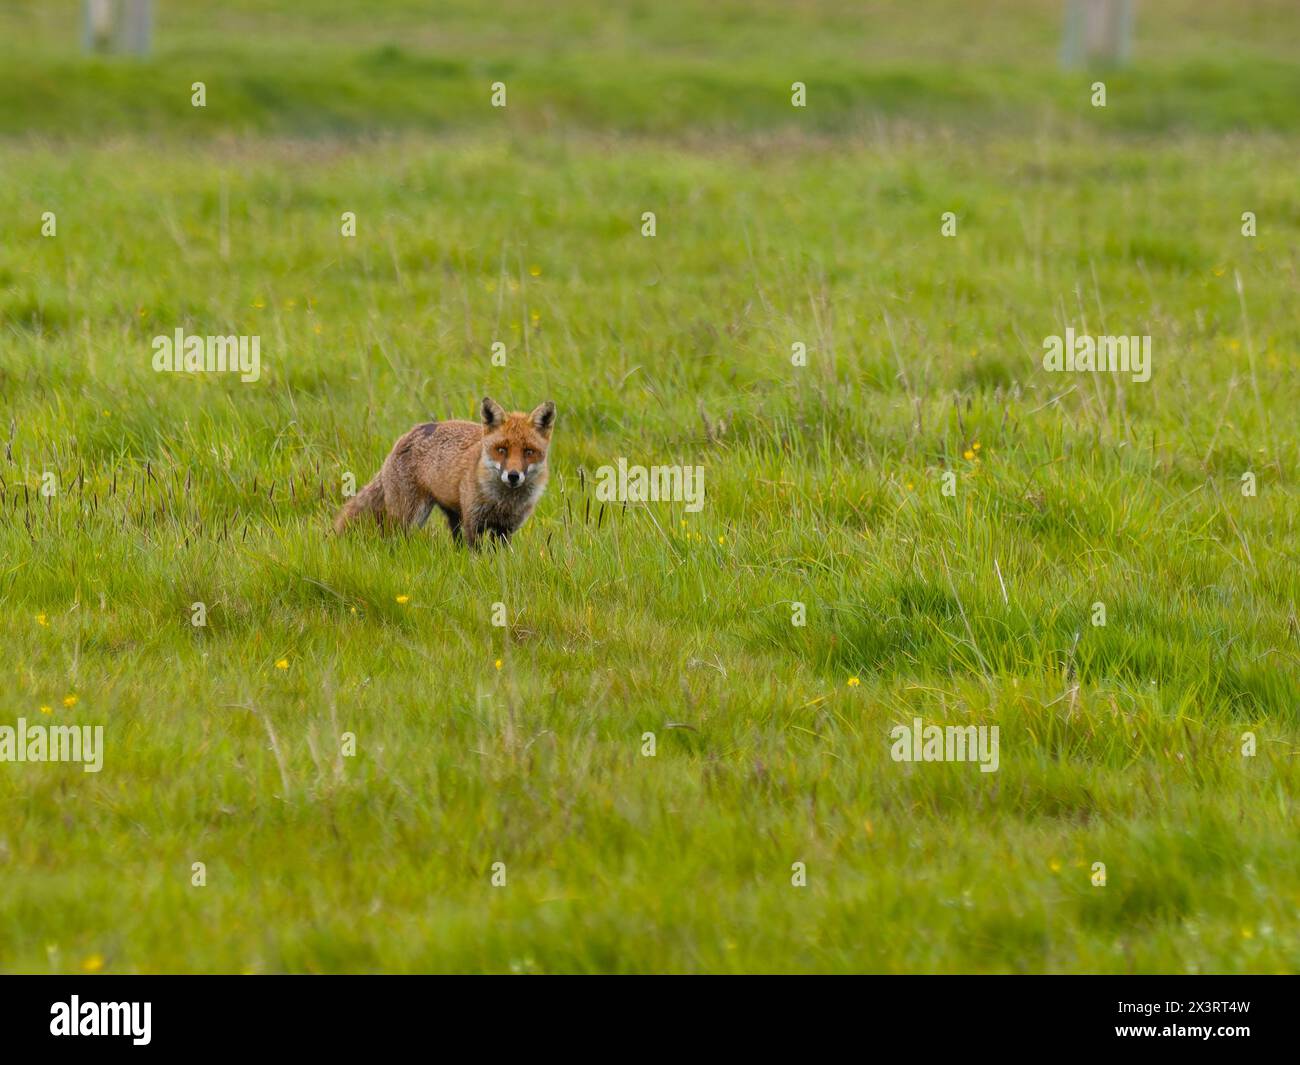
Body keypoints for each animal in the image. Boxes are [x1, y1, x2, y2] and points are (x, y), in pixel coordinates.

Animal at [334, 397, 556, 548]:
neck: (503, 502)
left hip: (451, 515)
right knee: (394, 539)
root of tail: (409, 433)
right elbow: (476, 556)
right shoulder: (473, 522)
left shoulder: (505, 530)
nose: (513, 476)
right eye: (501, 449)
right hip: (410, 516)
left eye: (529, 452)